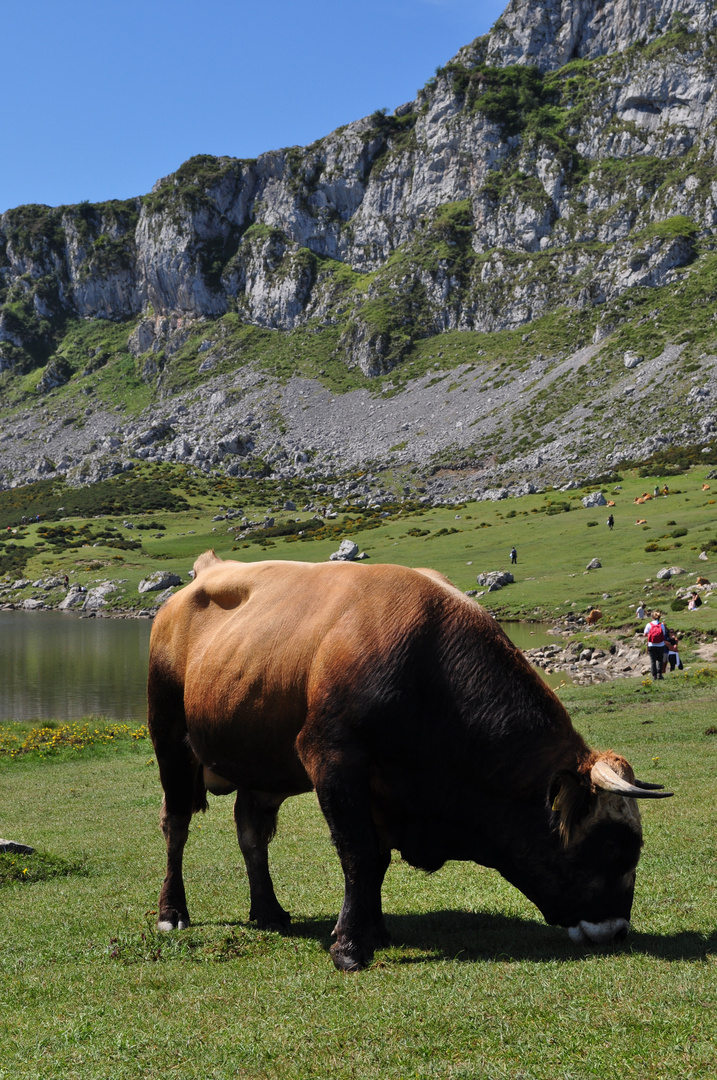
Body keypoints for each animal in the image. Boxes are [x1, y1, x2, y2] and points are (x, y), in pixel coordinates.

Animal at [146, 557, 673, 972]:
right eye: (613, 844)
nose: (618, 931)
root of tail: (208, 570)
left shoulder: (383, 788)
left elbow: (376, 860)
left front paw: (375, 931)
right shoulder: (333, 757)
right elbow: (359, 852)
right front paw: (349, 946)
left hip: (259, 763)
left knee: (251, 834)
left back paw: (269, 911)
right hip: (169, 737)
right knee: (176, 826)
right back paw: (172, 913)